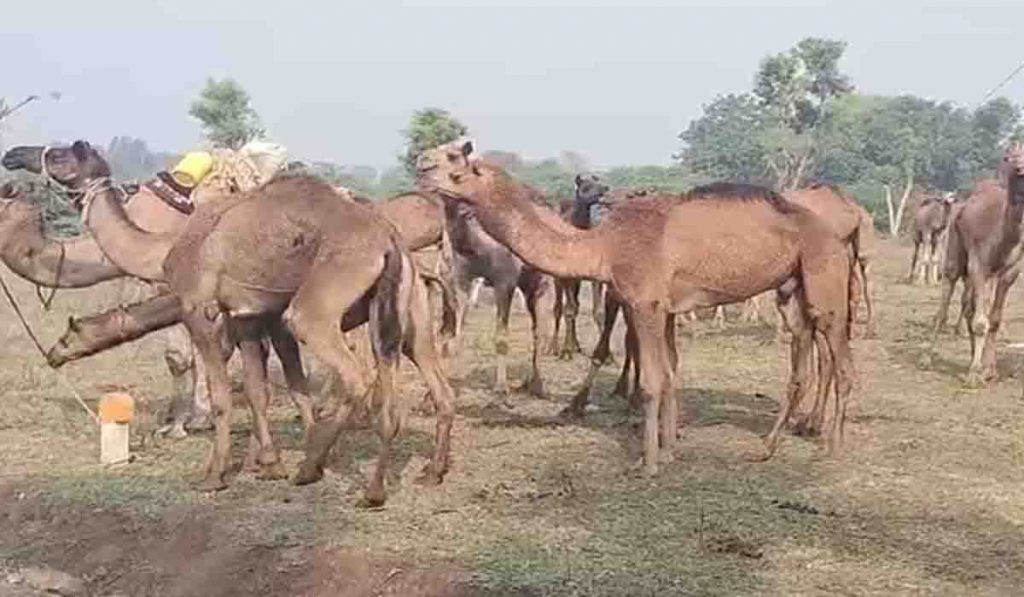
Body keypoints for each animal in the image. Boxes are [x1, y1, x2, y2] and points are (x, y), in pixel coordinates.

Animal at [29, 142, 454, 501]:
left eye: (62, 154)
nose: (51, 354)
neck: (162, 248)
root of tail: (389, 241)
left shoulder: (200, 307)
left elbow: (223, 395)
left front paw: (215, 474)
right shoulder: (248, 315)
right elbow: (260, 389)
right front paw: (268, 464)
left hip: (315, 308)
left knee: (355, 376)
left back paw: (313, 469)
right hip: (408, 317)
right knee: (430, 387)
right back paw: (406, 479)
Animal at [552, 174, 606, 360]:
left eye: (598, 182)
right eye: (585, 187)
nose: (604, 188)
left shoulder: (595, 277)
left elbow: (598, 311)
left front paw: (608, 356)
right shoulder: (566, 275)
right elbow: (568, 310)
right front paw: (566, 352)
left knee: (575, 304)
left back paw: (576, 346)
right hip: (557, 278)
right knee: (559, 307)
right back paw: (554, 347)